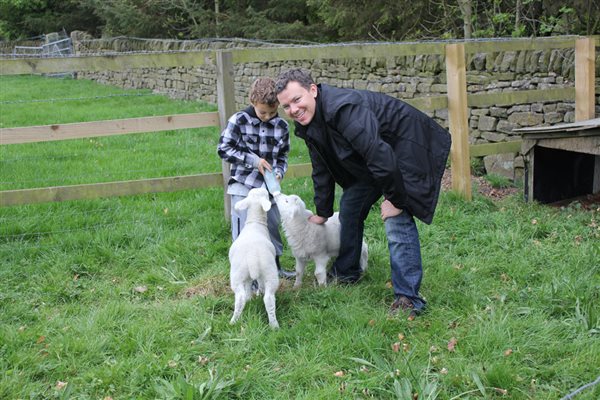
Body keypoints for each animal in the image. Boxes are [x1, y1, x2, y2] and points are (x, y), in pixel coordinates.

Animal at [229, 188, 280, 328]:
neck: (255, 221)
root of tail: (252, 258)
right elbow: (256, 286)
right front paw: (254, 296)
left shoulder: (247, 276)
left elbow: (248, 287)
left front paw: (250, 298)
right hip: (269, 273)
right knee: (268, 299)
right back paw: (274, 325)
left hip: (237, 274)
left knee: (240, 298)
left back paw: (234, 321)